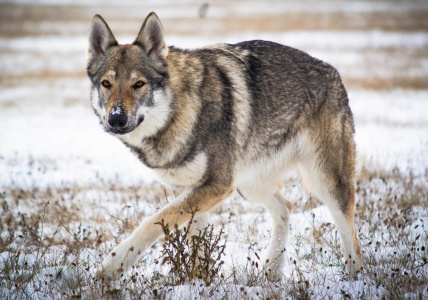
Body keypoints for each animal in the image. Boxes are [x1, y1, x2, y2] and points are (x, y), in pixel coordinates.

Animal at [87, 11, 362, 278]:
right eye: (106, 84)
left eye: (138, 84)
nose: (116, 119)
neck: (180, 111)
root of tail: (332, 71)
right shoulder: (189, 189)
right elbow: (196, 242)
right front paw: (198, 280)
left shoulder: (216, 185)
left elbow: (152, 222)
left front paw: (112, 266)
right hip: (248, 184)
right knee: (286, 207)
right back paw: (271, 272)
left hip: (326, 182)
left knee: (351, 237)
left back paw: (353, 278)